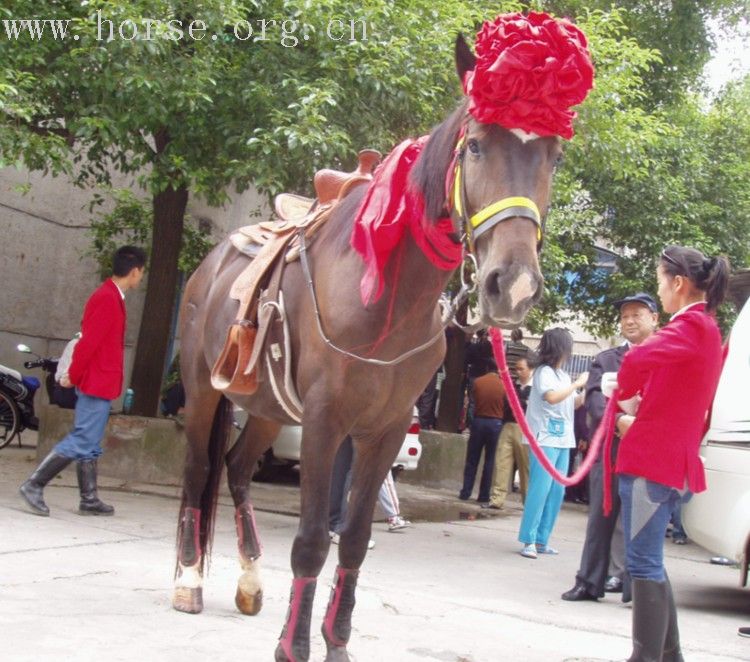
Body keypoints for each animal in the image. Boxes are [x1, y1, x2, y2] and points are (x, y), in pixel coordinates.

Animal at [175, 37, 564, 662]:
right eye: (476, 144)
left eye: (553, 157)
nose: (514, 285)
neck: (388, 303)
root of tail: (206, 270)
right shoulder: (325, 421)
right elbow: (313, 541)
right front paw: (294, 647)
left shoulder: (385, 428)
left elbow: (354, 540)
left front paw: (336, 641)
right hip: (203, 392)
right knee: (199, 469)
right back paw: (188, 581)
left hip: (267, 407)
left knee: (235, 470)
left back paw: (250, 581)